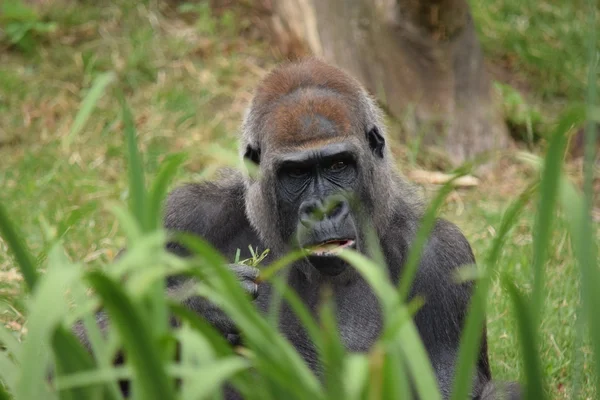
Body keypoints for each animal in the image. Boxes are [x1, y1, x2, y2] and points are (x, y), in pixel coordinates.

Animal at [77, 57, 520, 398]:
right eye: (296, 173)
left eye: (339, 164)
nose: (323, 208)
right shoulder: (180, 217)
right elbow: (77, 345)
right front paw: (202, 301)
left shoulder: (444, 256)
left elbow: (448, 385)